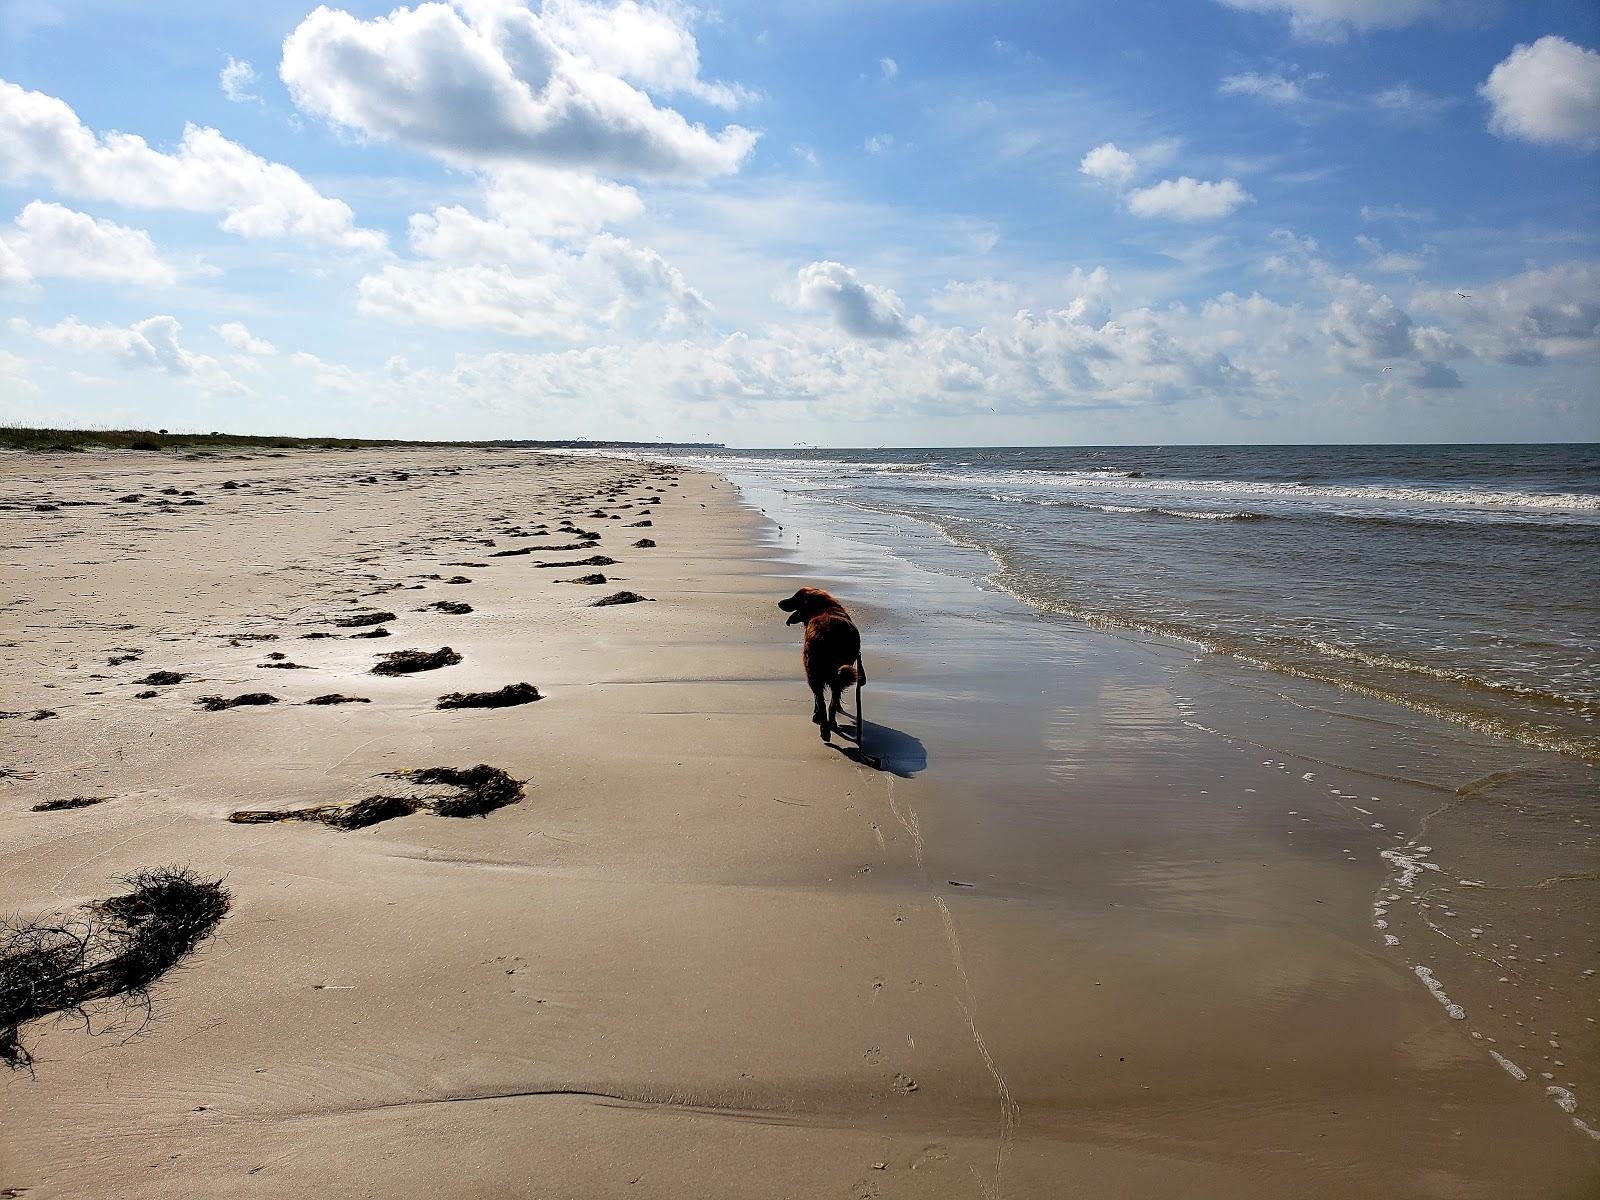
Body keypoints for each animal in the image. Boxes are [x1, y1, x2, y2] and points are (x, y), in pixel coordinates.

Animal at [774, 588, 864, 748]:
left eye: (795, 598)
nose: (779, 603)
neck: (823, 608)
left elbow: (818, 699)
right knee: (831, 702)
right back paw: (831, 724)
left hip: (812, 673)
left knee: (822, 702)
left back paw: (824, 730)